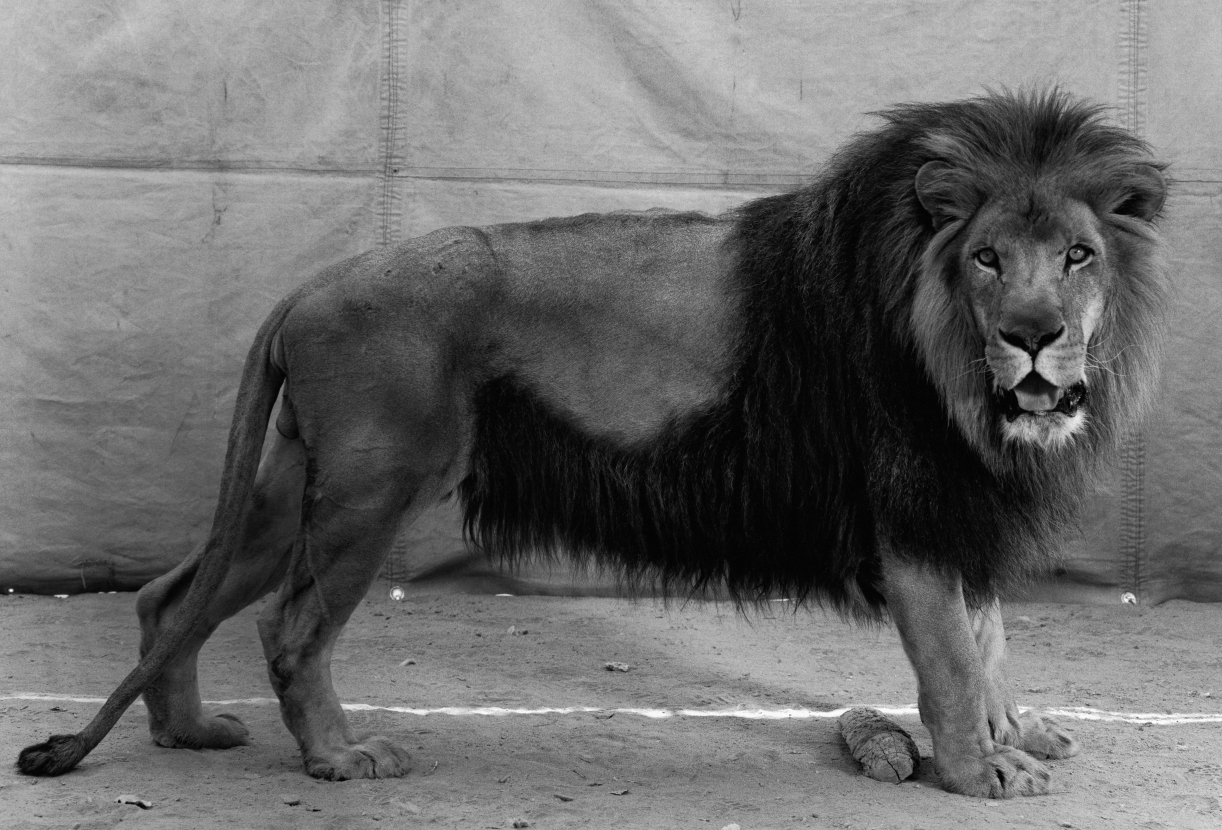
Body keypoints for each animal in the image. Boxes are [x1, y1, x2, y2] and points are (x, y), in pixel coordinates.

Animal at [16, 91, 1163, 796]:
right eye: (985, 259)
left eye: (1077, 255)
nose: (1034, 335)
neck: (962, 383)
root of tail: (315, 281)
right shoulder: (913, 508)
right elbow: (953, 660)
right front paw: (980, 772)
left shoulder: (961, 504)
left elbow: (992, 639)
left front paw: (1018, 735)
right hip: (374, 484)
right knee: (291, 629)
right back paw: (342, 758)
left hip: (301, 475)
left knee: (172, 594)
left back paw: (188, 731)